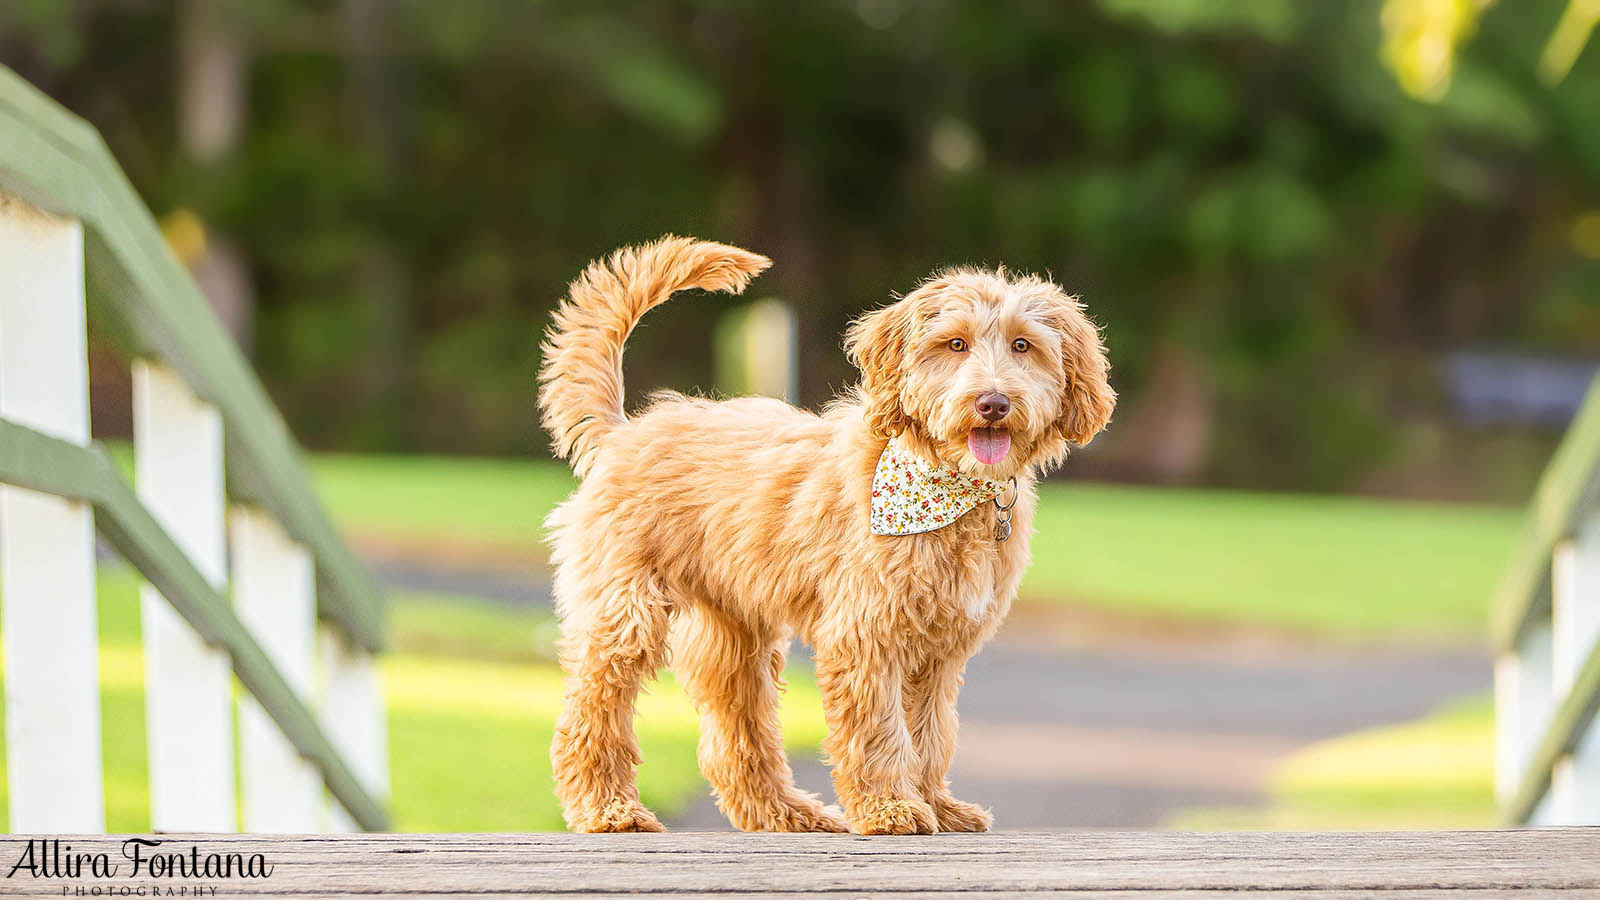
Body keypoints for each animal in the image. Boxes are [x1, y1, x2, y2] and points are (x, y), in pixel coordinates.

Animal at [537, 235, 1113, 832]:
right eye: (955, 344)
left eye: (1023, 345)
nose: (993, 403)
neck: (950, 490)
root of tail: (623, 434)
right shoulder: (865, 634)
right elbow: (879, 729)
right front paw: (890, 808)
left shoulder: (941, 650)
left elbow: (931, 734)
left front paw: (936, 804)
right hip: (625, 613)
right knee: (589, 715)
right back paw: (610, 810)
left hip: (734, 635)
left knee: (736, 737)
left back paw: (787, 813)